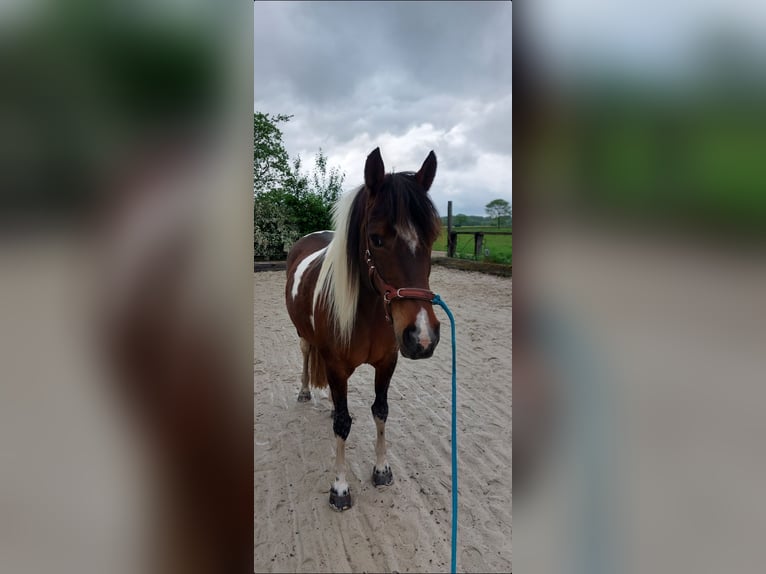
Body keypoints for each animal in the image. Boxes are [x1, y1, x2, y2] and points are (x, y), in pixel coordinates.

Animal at [285, 147, 442, 511]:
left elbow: (380, 411)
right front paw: (340, 487)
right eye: (376, 239)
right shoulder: (335, 365)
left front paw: (382, 469)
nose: (422, 336)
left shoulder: (387, 363)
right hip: (304, 338)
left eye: (432, 237)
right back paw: (305, 391)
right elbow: (343, 424)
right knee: (306, 356)